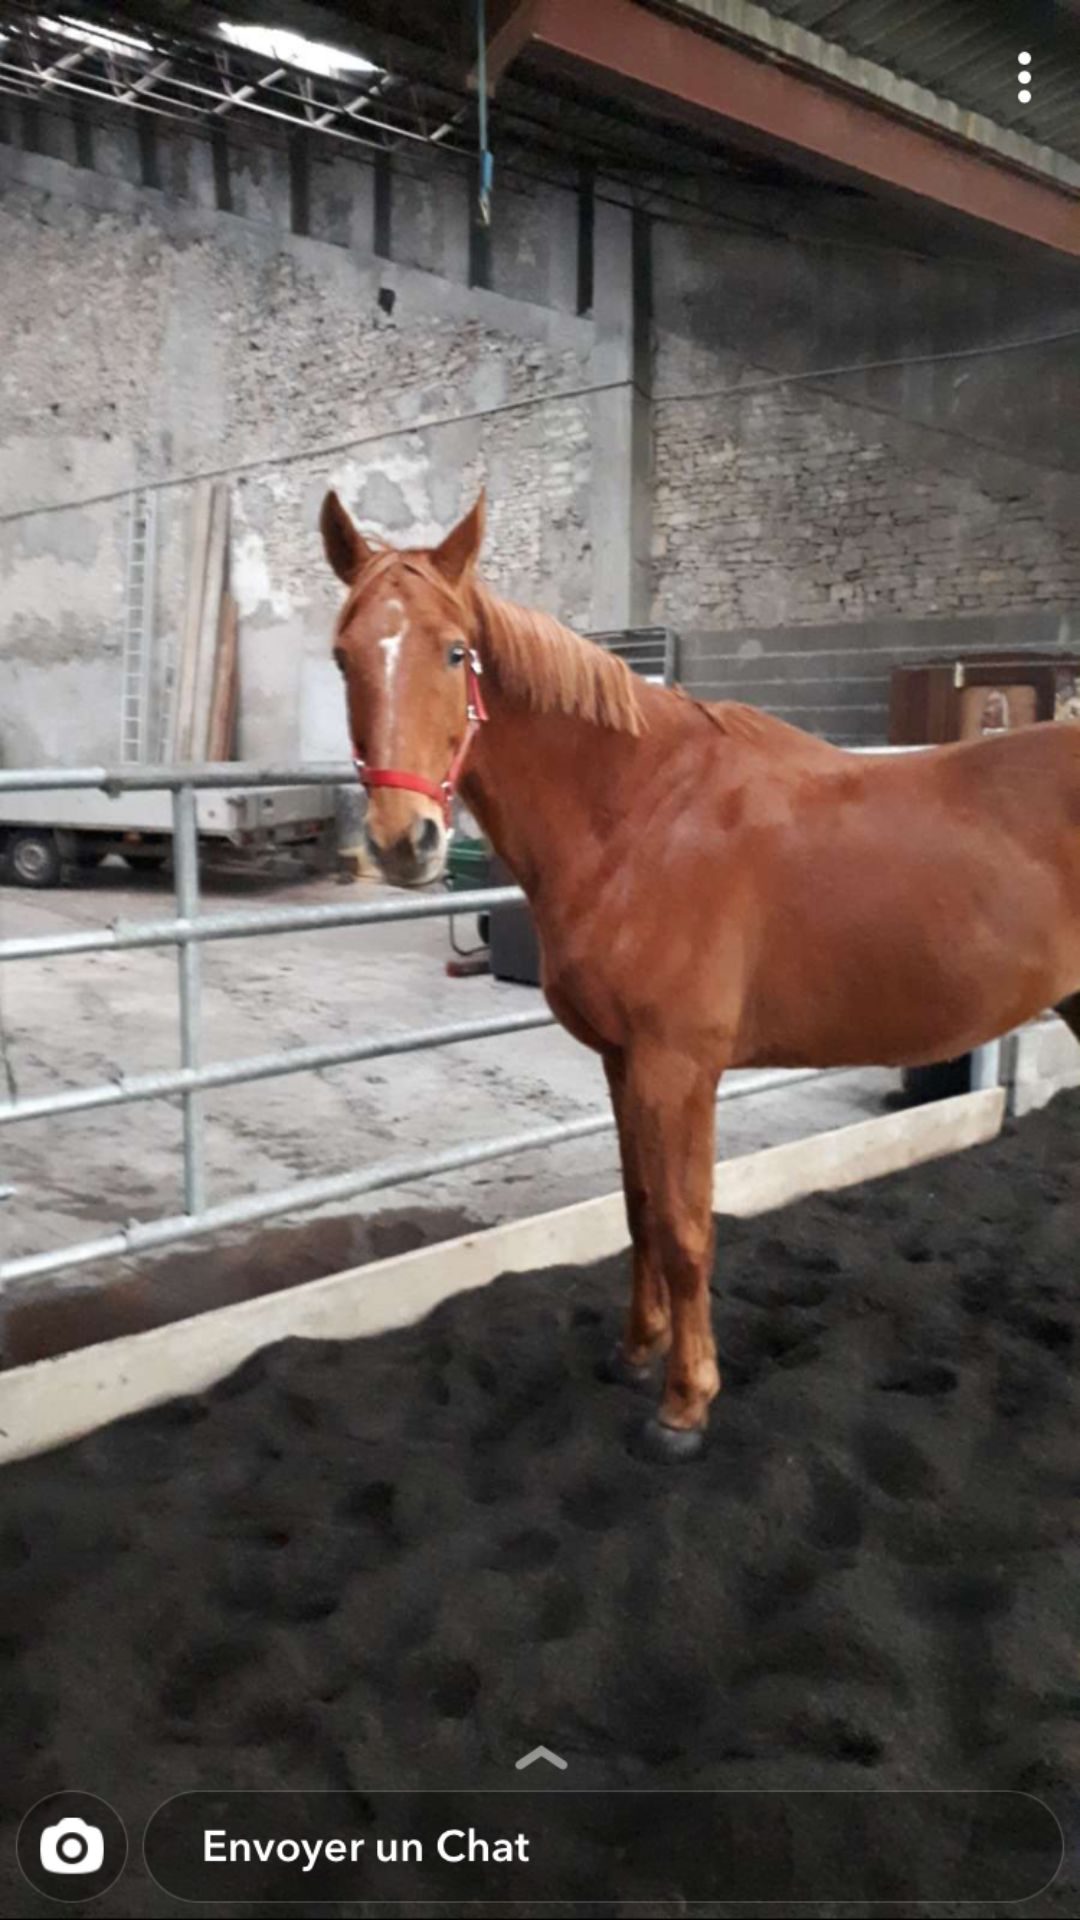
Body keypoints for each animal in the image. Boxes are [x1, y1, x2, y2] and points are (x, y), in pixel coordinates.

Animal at [320, 487, 1080, 1462]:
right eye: (343, 655)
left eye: (455, 652)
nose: (401, 842)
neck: (641, 813)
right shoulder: (622, 1062)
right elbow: (640, 1207)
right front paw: (635, 1352)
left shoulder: (678, 1068)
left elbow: (685, 1229)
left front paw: (684, 1406)